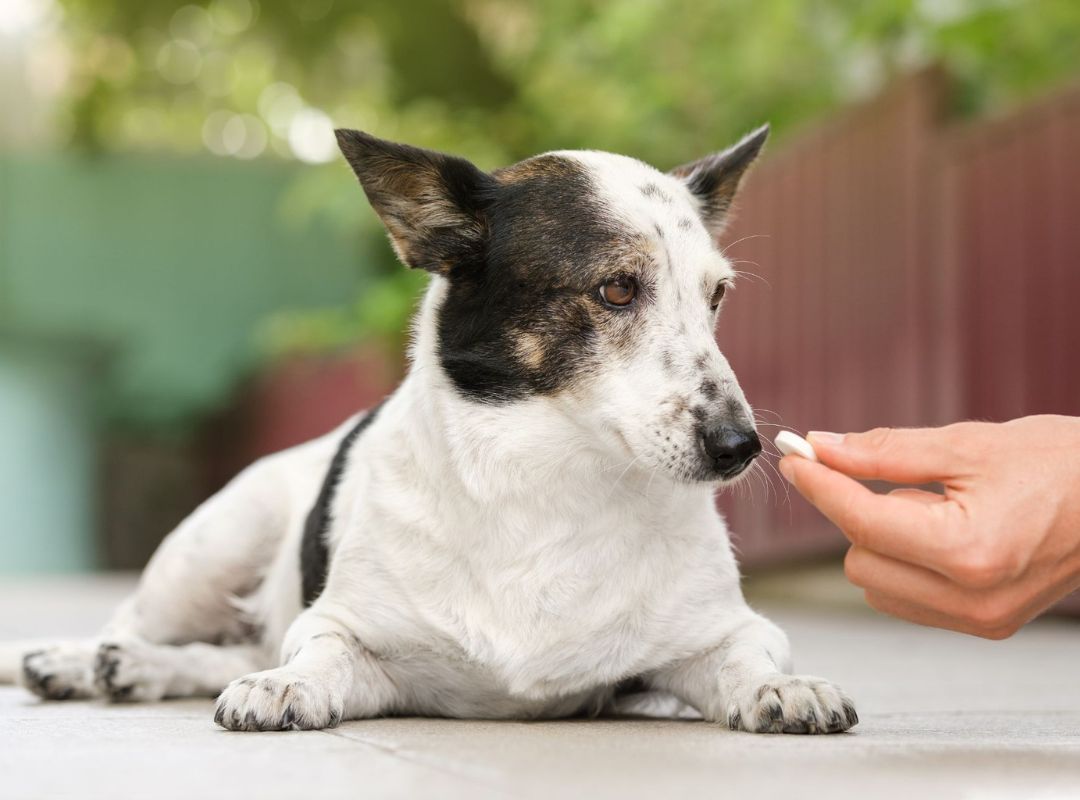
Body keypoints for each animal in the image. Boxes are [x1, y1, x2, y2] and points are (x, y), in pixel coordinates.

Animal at [2, 127, 859, 734]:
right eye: (617, 289)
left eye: (717, 297)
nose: (740, 447)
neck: (548, 486)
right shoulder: (355, 639)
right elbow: (314, 654)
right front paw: (288, 684)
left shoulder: (714, 636)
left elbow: (750, 655)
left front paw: (783, 686)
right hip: (210, 546)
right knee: (138, 624)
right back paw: (74, 661)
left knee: (231, 646)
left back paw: (137, 671)